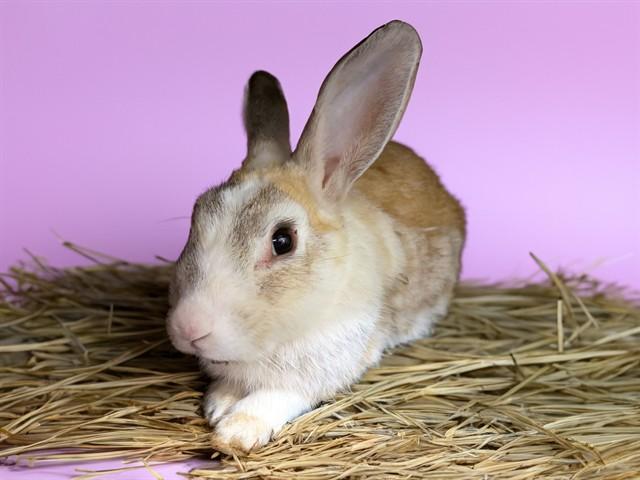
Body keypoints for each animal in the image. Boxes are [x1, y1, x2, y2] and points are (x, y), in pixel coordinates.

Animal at [166, 20, 466, 454]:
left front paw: (235, 430)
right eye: (197, 215)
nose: (189, 328)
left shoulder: (325, 368)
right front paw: (218, 405)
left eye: (283, 241)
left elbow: (277, 397)